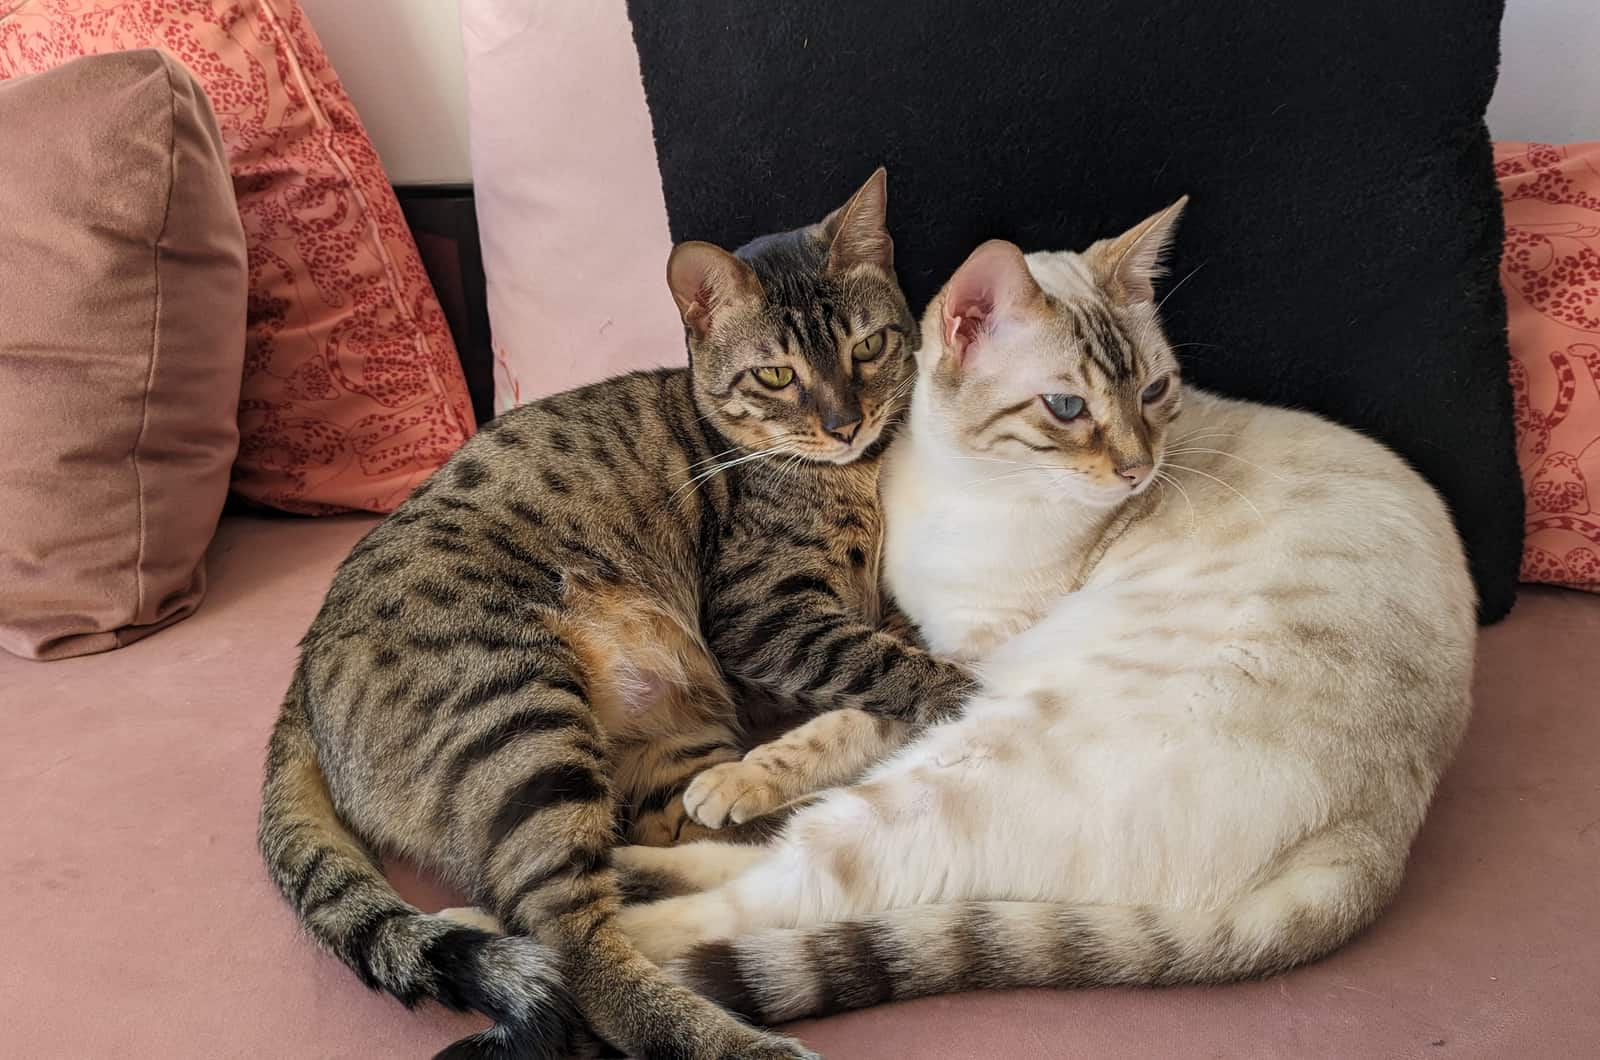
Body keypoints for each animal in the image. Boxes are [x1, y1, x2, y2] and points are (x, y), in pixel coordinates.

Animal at [259, 170, 972, 1056]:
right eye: (775, 377)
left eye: (868, 347)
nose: (846, 423)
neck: (853, 478)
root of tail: (302, 677)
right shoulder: (762, 616)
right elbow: (889, 661)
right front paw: (965, 688)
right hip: (515, 717)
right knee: (575, 948)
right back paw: (737, 1041)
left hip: (665, 740)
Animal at [601, 196, 1472, 1024]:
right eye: (1066, 407)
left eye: (1155, 392)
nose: (1138, 469)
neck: (964, 491)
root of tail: (1372, 842)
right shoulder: (918, 636)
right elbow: (849, 704)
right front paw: (741, 779)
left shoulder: (974, 656)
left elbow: (854, 715)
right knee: (775, 854)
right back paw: (644, 855)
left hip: (964, 760)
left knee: (787, 889)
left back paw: (621, 933)